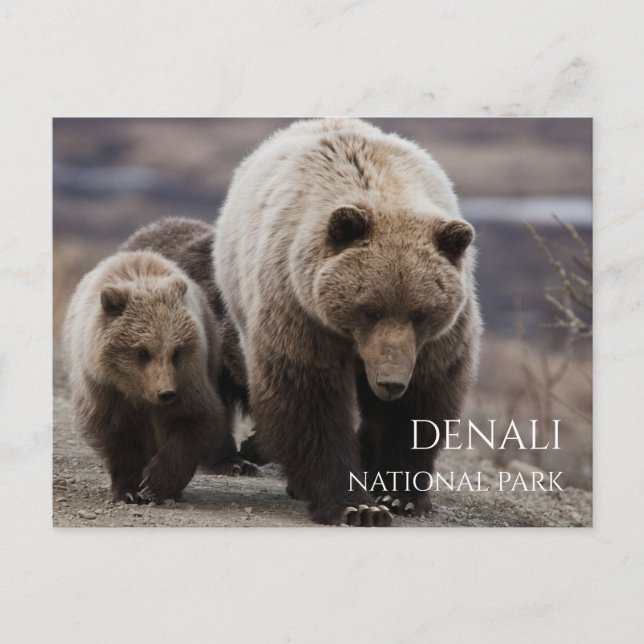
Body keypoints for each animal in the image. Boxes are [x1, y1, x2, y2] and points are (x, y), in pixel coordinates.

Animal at [64, 249, 237, 503]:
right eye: (142, 351)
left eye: (176, 351)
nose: (166, 393)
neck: (137, 391)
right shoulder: (104, 387)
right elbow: (118, 435)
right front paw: (129, 490)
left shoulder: (187, 378)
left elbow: (190, 421)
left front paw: (156, 484)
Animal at [214, 118, 481, 526]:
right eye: (369, 309)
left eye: (420, 313)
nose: (390, 381)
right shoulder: (300, 310)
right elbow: (309, 400)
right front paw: (355, 504)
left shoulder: (436, 341)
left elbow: (420, 404)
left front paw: (398, 495)